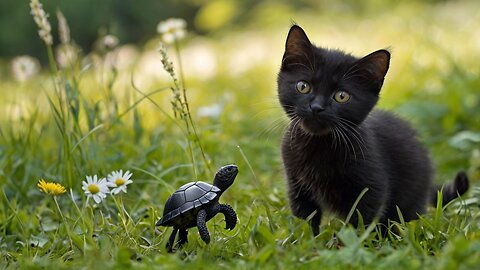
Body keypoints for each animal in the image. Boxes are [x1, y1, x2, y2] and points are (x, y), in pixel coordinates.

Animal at [278, 25, 468, 236]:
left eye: (342, 96)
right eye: (303, 86)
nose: (317, 107)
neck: (319, 145)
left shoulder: (371, 186)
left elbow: (364, 220)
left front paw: (357, 241)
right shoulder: (296, 184)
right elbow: (305, 219)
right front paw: (307, 240)